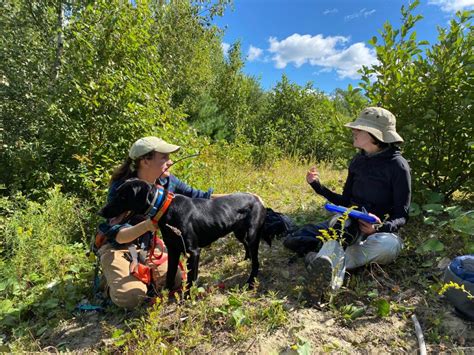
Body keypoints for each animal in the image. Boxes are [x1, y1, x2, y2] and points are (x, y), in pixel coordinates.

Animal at [100, 179, 278, 290]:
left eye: (123, 196)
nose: (100, 212)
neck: (164, 208)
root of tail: (258, 200)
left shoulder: (193, 251)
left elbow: (191, 278)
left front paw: (187, 297)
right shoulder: (173, 250)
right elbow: (171, 274)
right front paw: (165, 295)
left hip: (252, 235)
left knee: (256, 262)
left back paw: (250, 282)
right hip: (239, 233)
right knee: (247, 249)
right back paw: (245, 260)